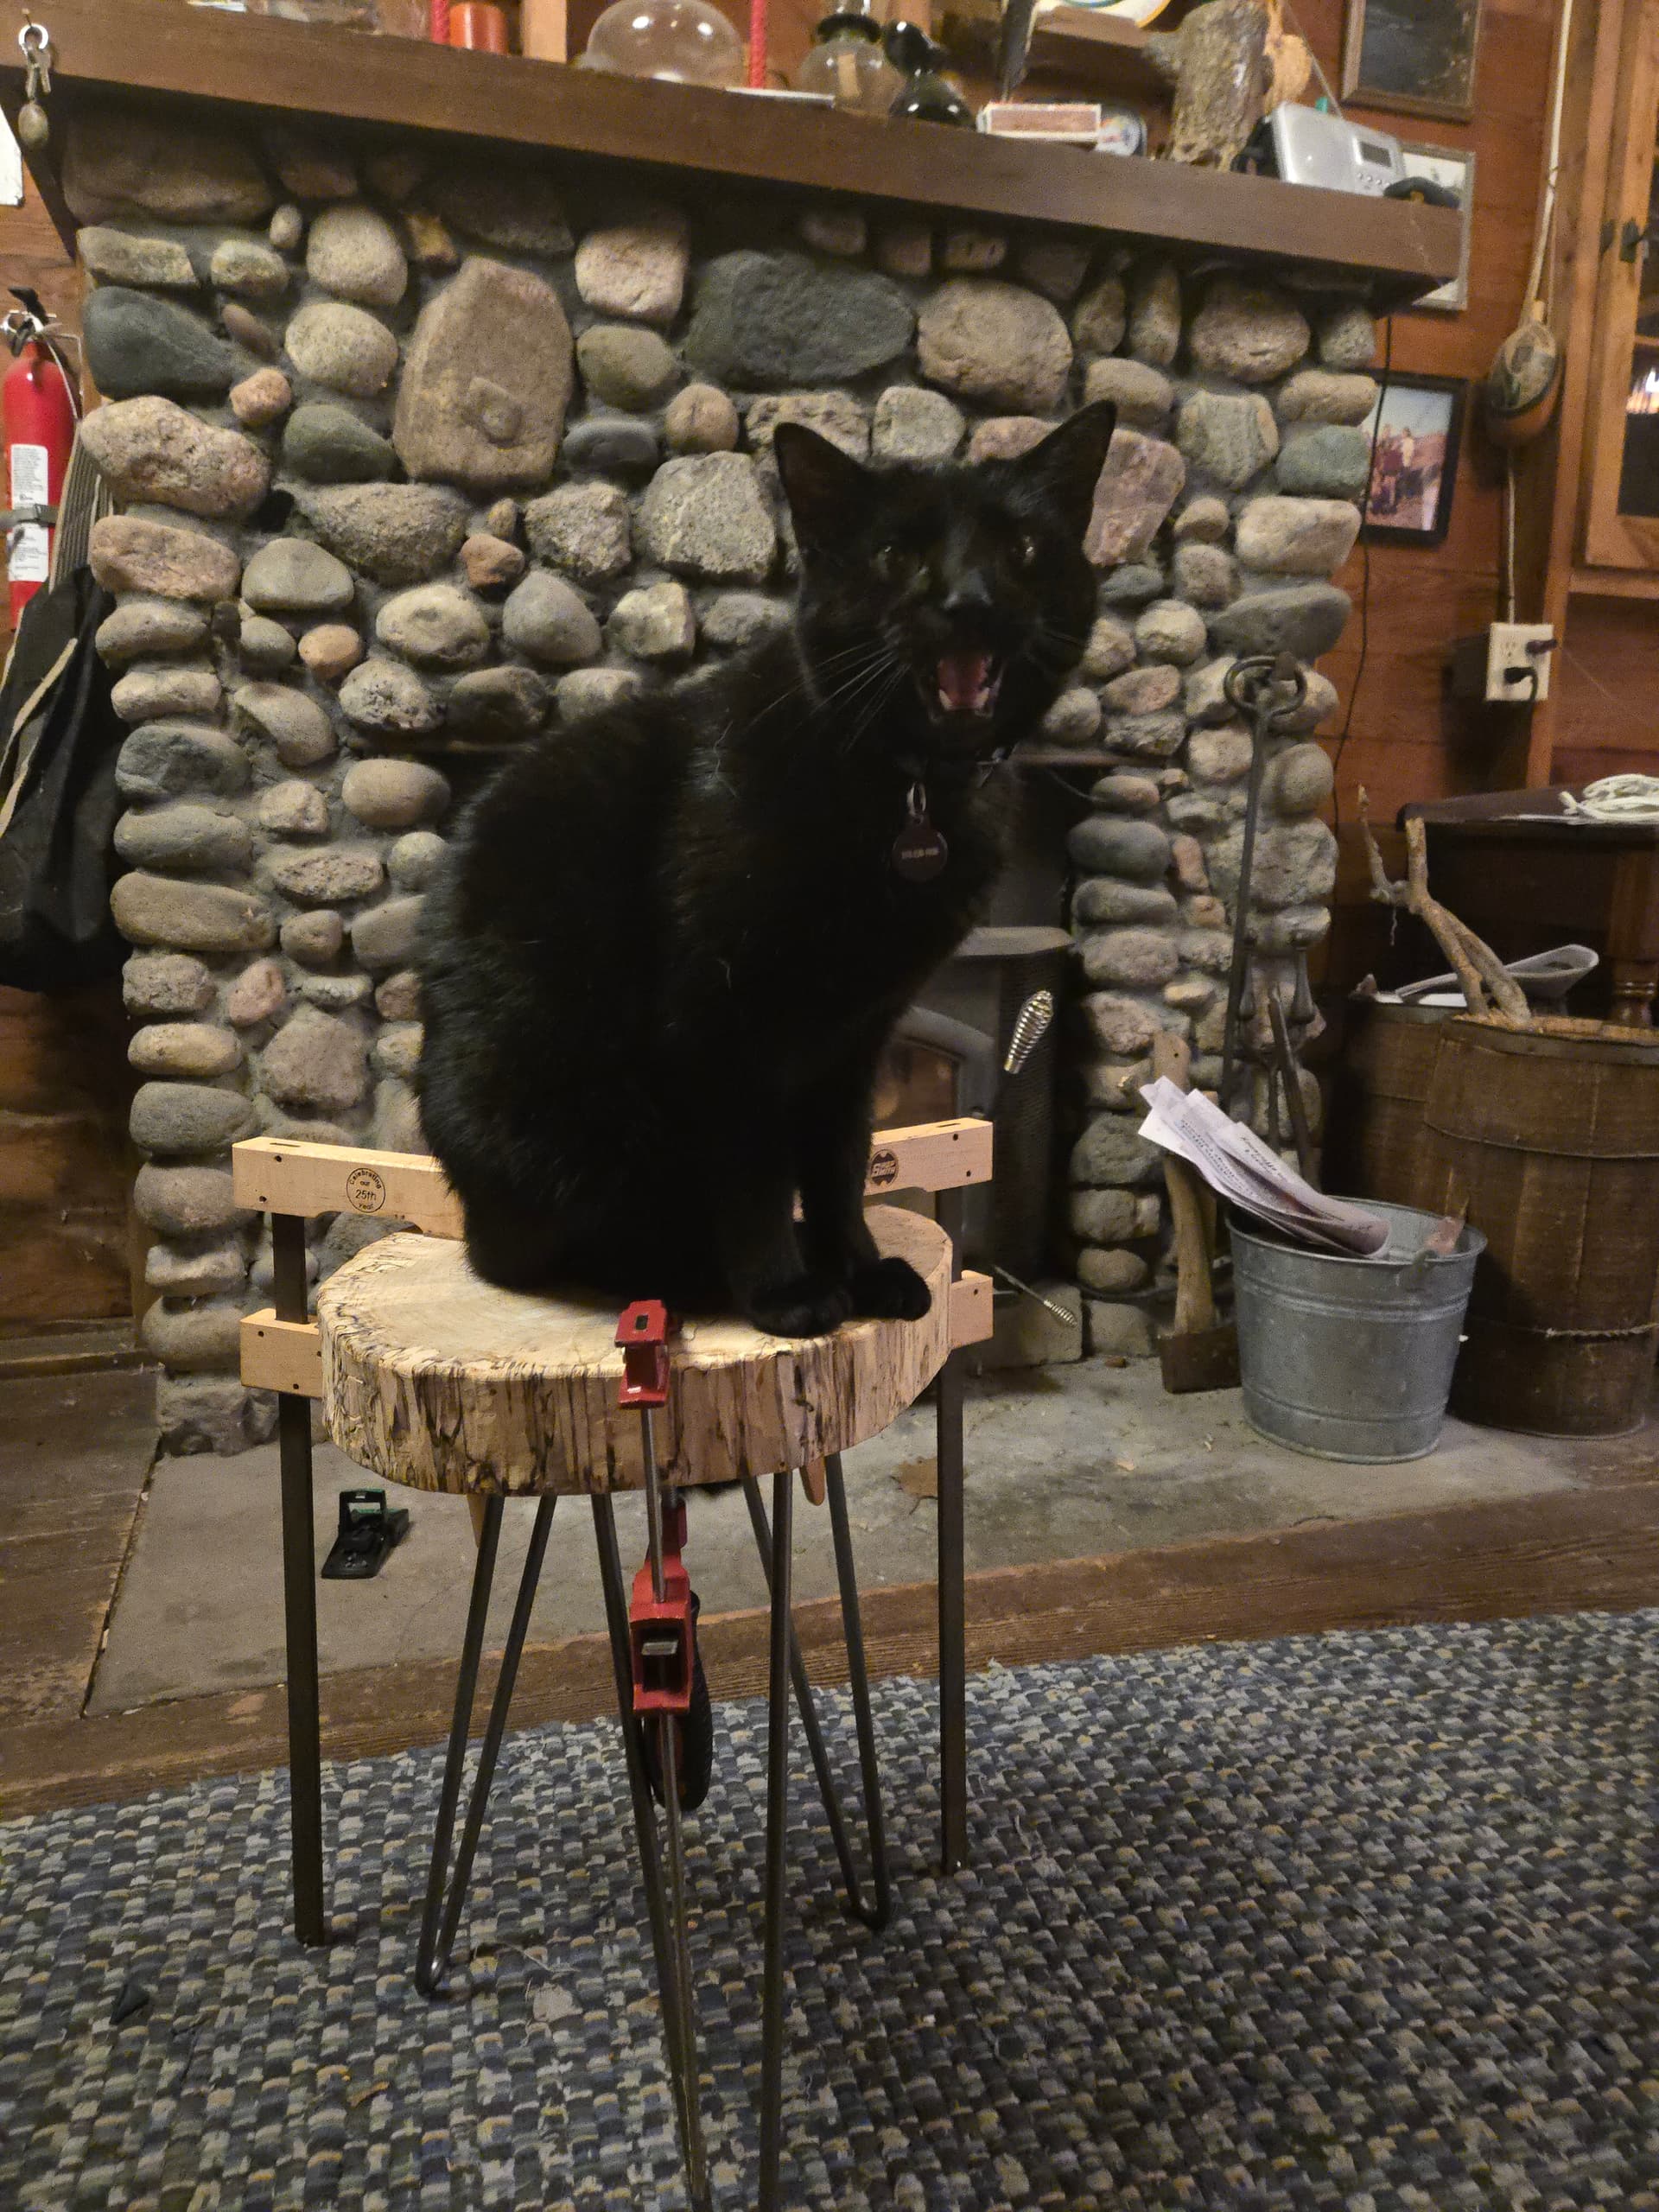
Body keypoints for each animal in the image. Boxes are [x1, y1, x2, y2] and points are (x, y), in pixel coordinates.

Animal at [417, 398, 1117, 1338]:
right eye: (896, 555)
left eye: (1024, 551)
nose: (968, 601)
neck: (908, 791)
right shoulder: (724, 1023)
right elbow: (754, 1172)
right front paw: (786, 1291)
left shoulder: (857, 1035)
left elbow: (840, 1165)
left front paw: (861, 1270)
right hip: (573, 1123)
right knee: (548, 1248)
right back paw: (693, 1273)